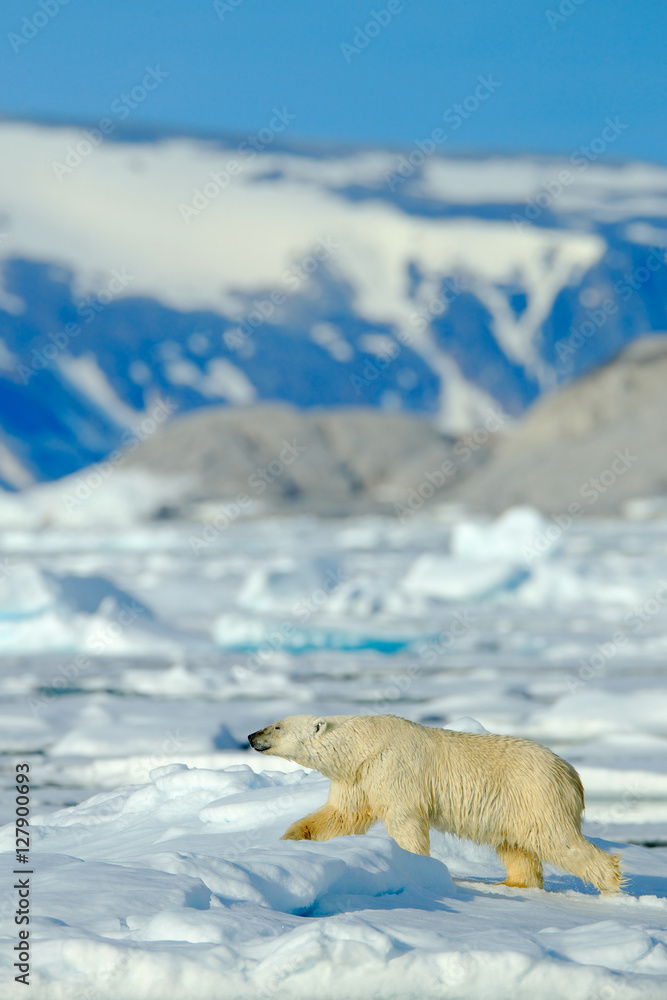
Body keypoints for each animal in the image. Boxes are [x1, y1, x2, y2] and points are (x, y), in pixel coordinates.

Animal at [248, 716, 624, 896]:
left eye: (277, 726)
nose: (252, 736)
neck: (362, 744)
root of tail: (572, 773)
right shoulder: (358, 777)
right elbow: (340, 816)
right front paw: (291, 840)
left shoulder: (392, 768)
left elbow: (404, 821)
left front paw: (415, 867)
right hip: (511, 806)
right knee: (514, 845)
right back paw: (511, 884)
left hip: (535, 794)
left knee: (558, 839)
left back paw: (611, 884)